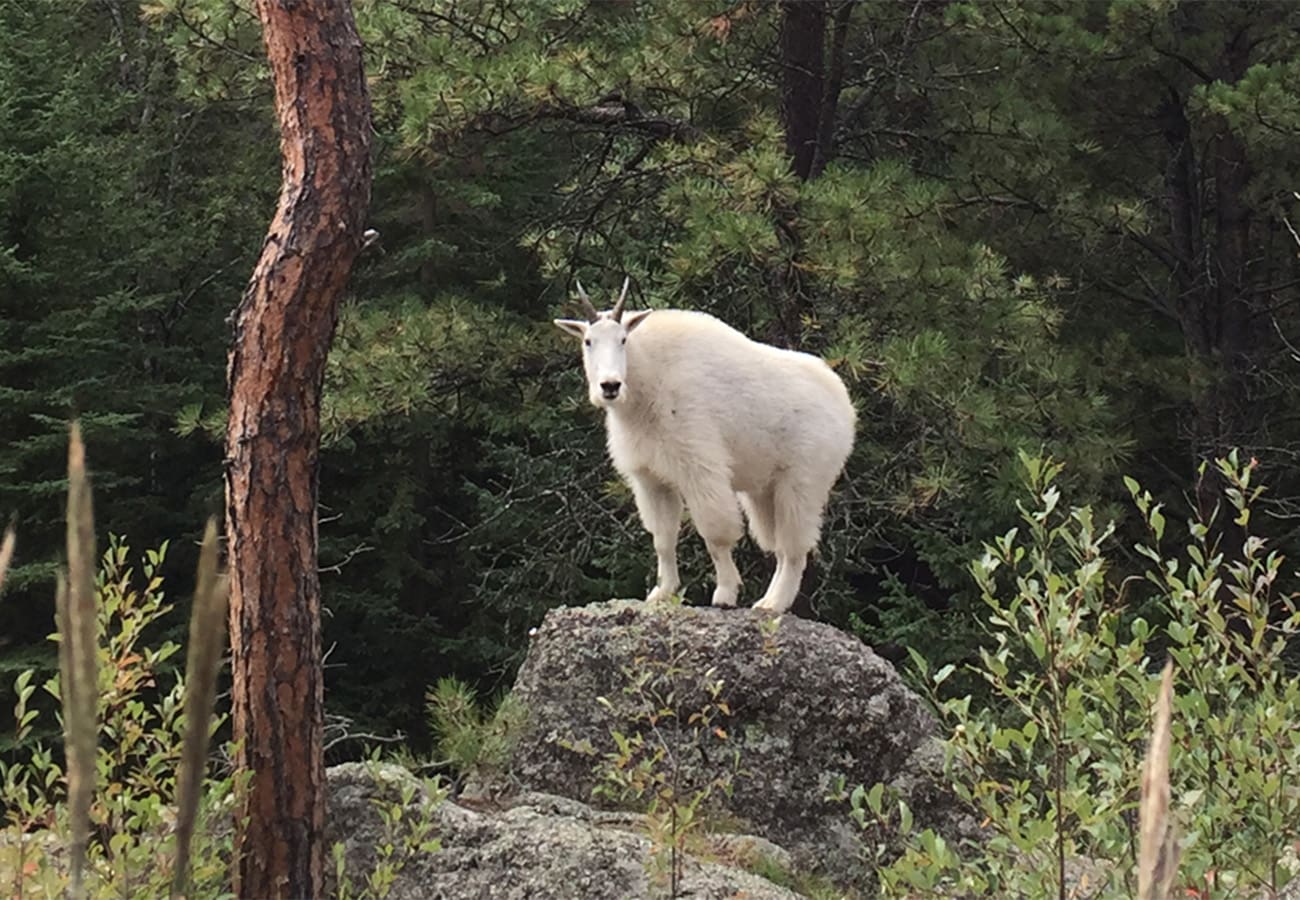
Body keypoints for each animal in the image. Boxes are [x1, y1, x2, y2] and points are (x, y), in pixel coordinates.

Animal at [554, 279, 856, 614]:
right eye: (588, 342)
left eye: (623, 339)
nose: (610, 386)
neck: (647, 384)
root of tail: (844, 404)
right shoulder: (651, 479)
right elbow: (663, 538)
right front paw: (662, 592)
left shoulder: (698, 467)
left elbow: (715, 534)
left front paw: (724, 594)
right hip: (766, 490)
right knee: (778, 546)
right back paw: (765, 599)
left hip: (803, 481)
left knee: (794, 548)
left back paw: (774, 604)